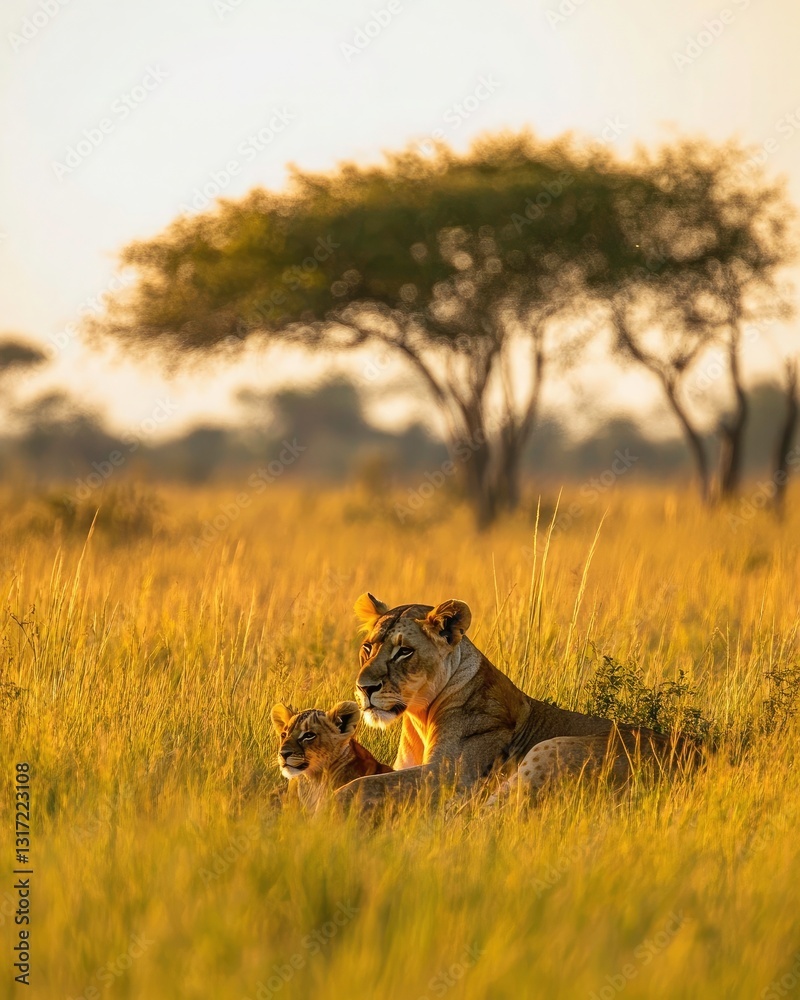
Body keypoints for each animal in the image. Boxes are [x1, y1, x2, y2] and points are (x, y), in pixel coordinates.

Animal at [334, 594, 697, 809]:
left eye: (404, 651)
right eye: (368, 647)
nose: (364, 688)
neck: (418, 717)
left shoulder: (449, 774)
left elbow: (362, 786)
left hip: (548, 751)